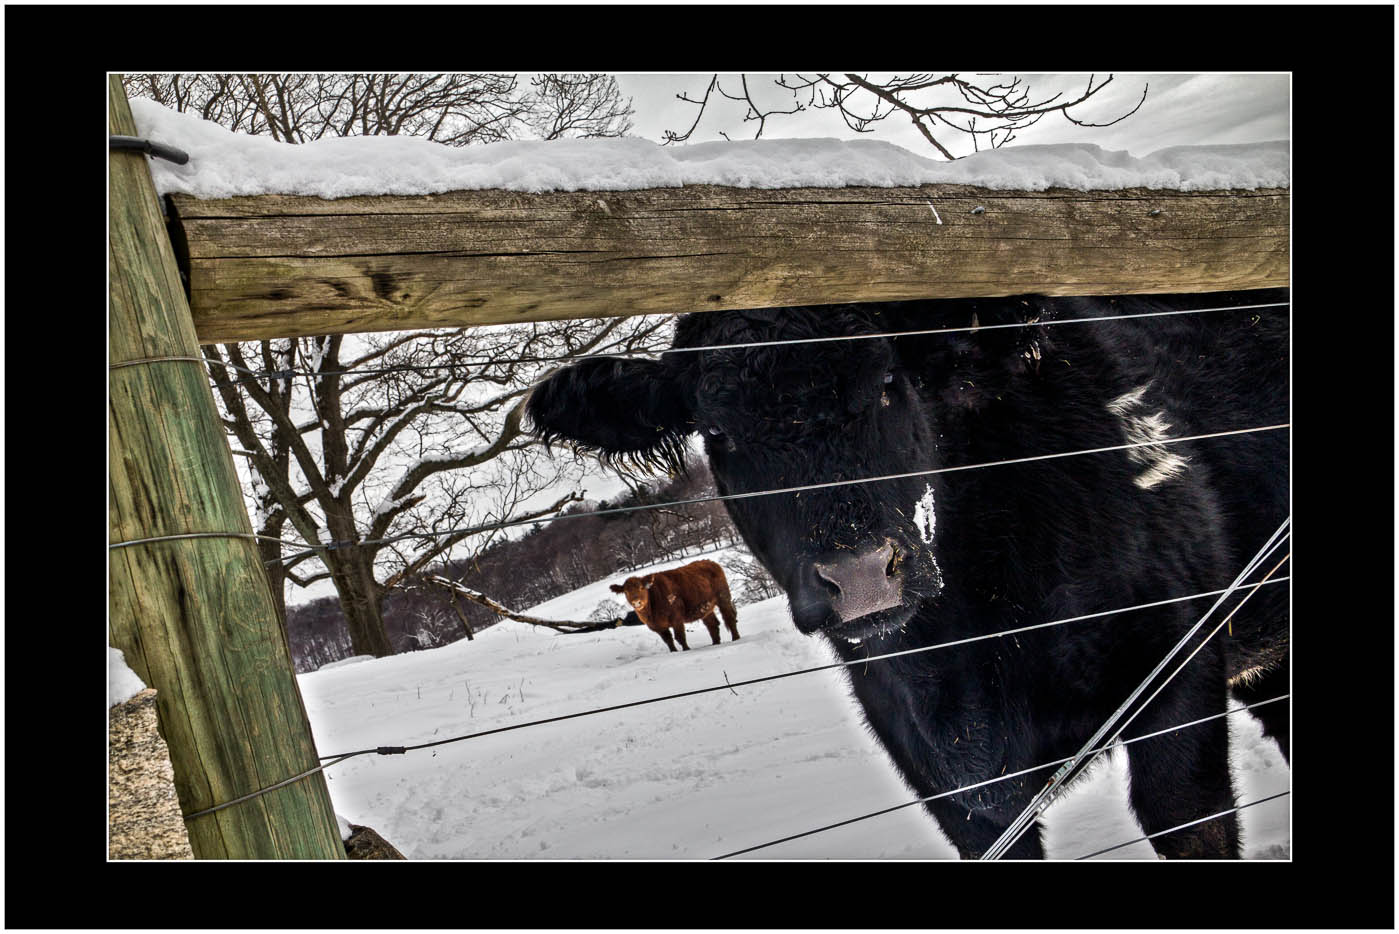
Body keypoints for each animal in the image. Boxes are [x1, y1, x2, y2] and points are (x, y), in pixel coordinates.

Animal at [612, 559, 744, 654]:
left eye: (641, 587)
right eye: (626, 592)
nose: (636, 602)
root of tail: (709, 562)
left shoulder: (676, 618)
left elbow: (680, 637)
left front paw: (686, 650)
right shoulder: (657, 627)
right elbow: (668, 640)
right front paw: (673, 652)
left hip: (723, 597)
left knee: (729, 618)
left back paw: (736, 638)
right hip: (705, 607)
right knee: (712, 625)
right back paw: (715, 643)